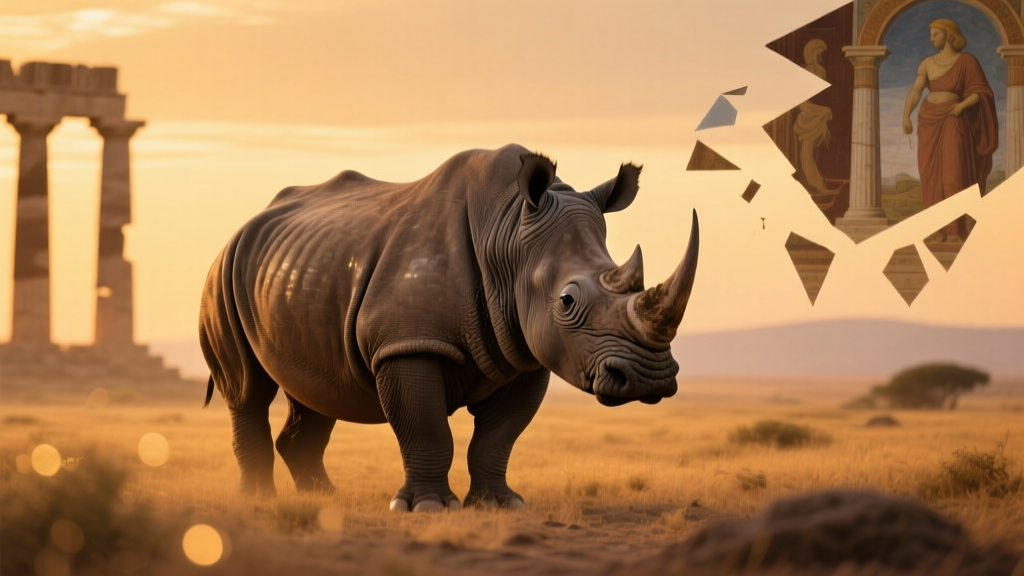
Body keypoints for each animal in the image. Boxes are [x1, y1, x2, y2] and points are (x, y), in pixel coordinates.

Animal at [199, 144, 699, 511]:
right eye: (567, 301)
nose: (650, 378)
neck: (507, 232)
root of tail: (243, 227)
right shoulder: (408, 342)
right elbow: (426, 426)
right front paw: (427, 509)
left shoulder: (525, 354)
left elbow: (499, 437)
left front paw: (500, 505)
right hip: (220, 275)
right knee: (247, 391)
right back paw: (259, 501)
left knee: (316, 390)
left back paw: (324, 499)